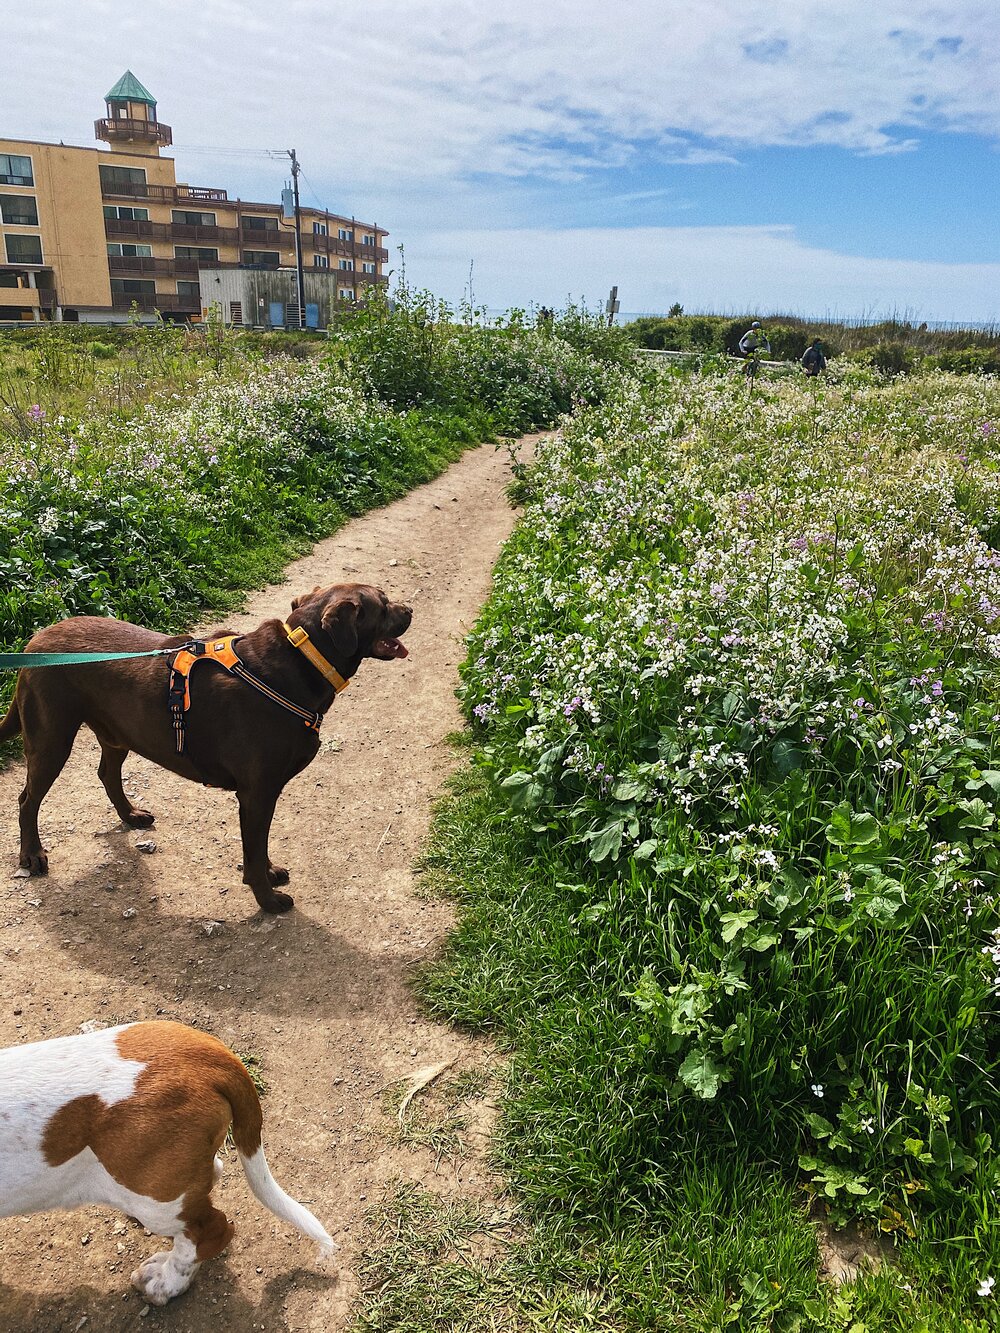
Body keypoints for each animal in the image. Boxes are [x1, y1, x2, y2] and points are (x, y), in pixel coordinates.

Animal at [0, 586, 410, 917]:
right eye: (383, 604)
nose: (409, 609)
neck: (302, 658)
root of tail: (34, 641)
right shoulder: (258, 793)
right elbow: (253, 852)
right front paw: (268, 899)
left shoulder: (262, 795)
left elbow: (260, 847)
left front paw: (270, 874)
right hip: (52, 737)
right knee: (27, 799)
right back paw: (32, 854)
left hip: (119, 730)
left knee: (106, 772)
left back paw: (130, 815)